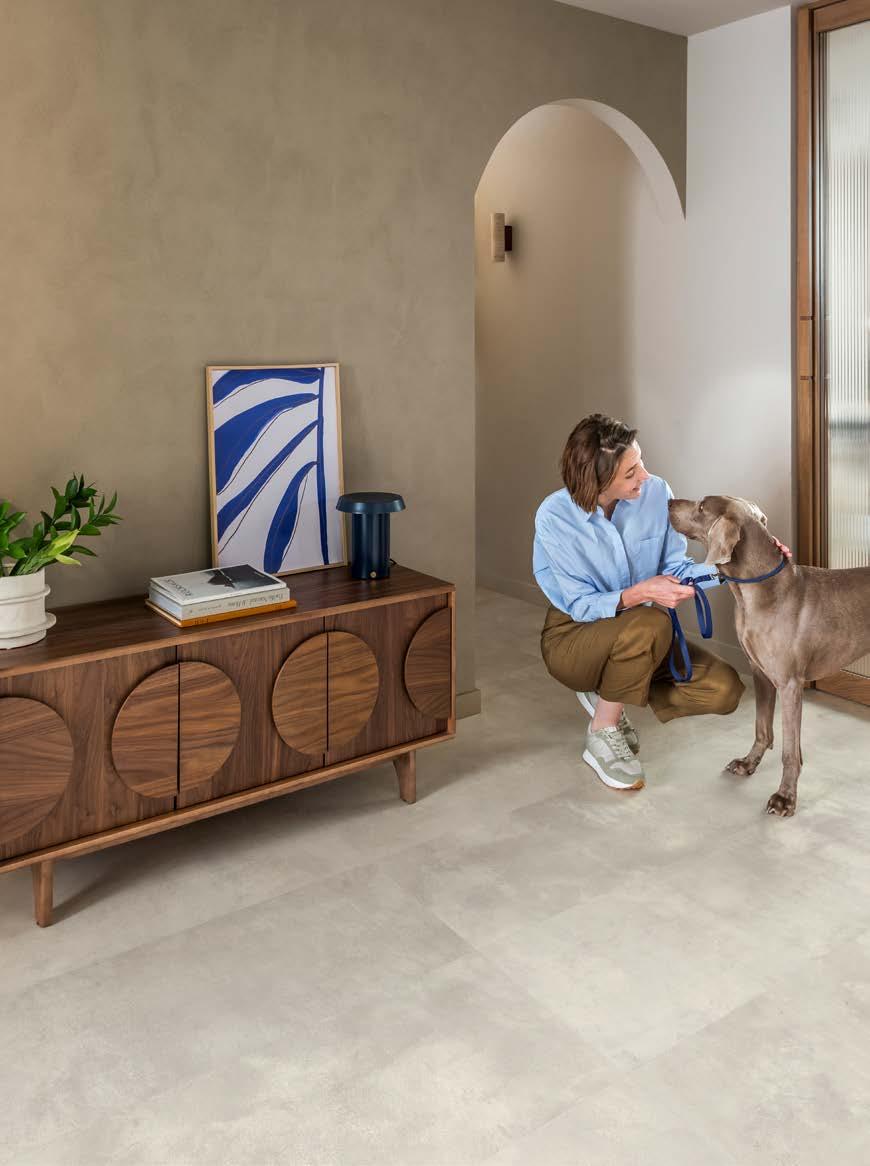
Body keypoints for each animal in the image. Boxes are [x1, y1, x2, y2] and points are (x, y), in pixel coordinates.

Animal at [668, 495, 870, 816]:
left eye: (701, 506)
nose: (669, 503)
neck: (760, 590)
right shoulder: (760, 672)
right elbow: (762, 728)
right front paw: (748, 763)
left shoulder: (789, 684)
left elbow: (789, 751)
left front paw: (785, 797)